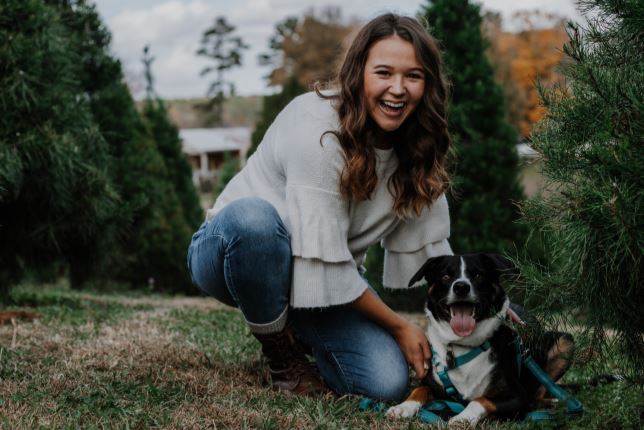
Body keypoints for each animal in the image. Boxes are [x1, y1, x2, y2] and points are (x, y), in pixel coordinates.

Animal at [384, 254, 576, 424]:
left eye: (478, 275)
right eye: (446, 276)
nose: (461, 287)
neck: (462, 345)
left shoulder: (517, 396)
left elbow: (481, 400)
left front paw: (463, 417)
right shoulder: (434, 384)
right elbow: (419, 389)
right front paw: (403, 407)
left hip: (565, 342)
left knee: (538, 394)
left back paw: (556, 403)